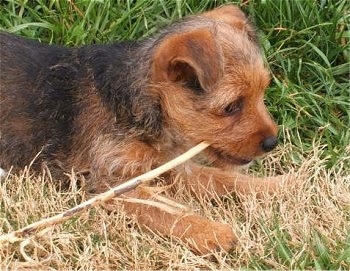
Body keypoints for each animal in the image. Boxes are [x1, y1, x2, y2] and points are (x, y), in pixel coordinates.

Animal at [0, 6, 282, 256]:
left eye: (262, 91)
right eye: (231, 106)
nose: (273, 142)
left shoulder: (172, 167)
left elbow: (227, 179)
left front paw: (281, 185)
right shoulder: (112, 184)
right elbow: (164, 210)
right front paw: (211, 232)